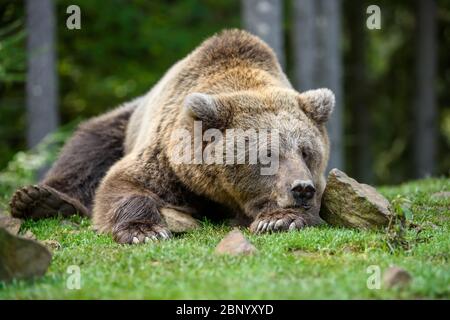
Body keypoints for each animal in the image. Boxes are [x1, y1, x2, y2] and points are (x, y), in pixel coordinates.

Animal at [9, 30, 334, 245]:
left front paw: (279, 218)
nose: (301, 188)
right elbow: (124, 182)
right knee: (86, 151)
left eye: (306, 152)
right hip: (120, 123)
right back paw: (41, 199)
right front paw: (144, 231)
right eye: (267, 154)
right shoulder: (167, 158)